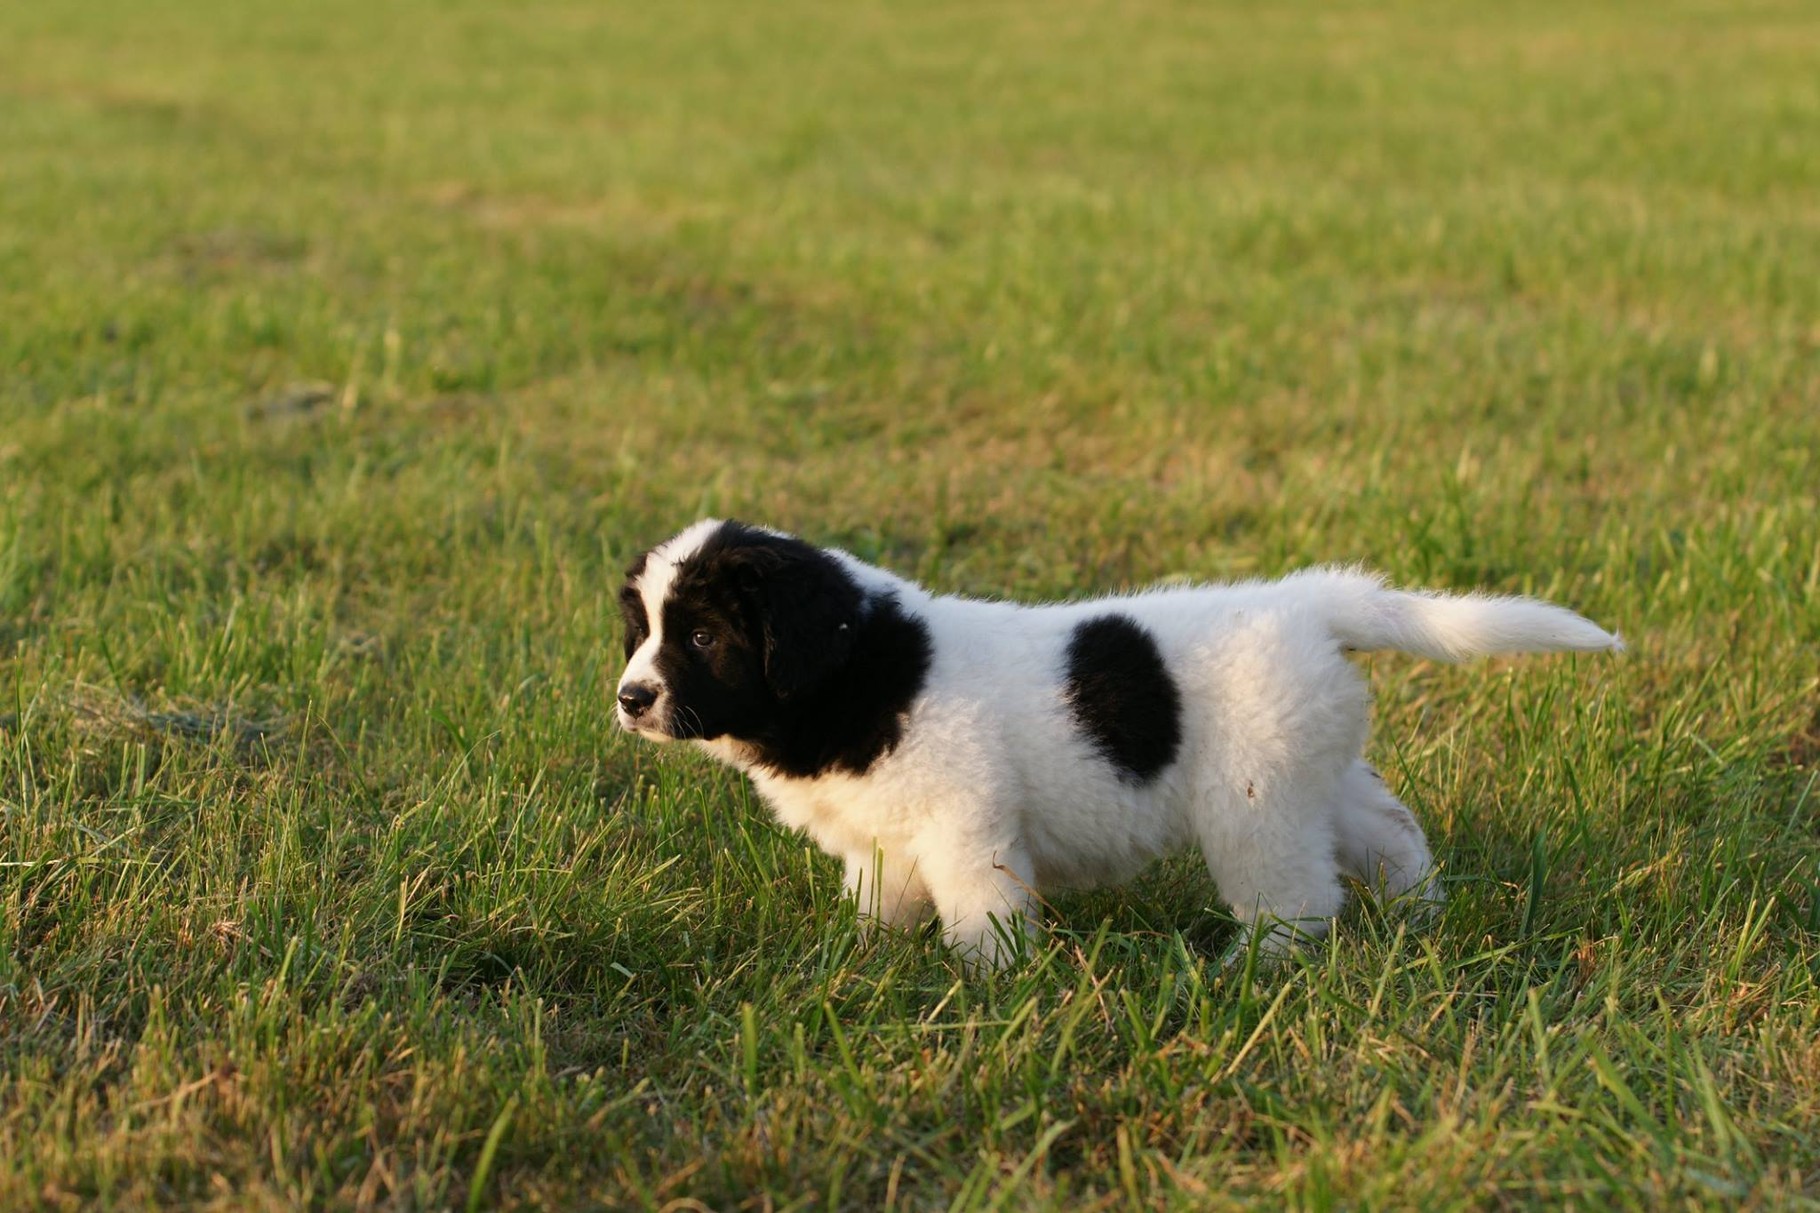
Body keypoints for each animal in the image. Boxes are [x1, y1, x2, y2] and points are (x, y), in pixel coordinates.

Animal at [615, 517, 1623, 961]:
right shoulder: (882, 837)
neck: (865, 668)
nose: (629, 697)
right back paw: (1423, 917)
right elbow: (880, 901)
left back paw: (1255, 969)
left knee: (1297, 896)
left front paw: (988, 985)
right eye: (645, 628)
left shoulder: (967, 827)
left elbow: (981, 914)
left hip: (1252, 800)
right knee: (1392, 834)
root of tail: (1310, 601)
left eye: (701, 637)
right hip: (1316, 771)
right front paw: (866, 963)